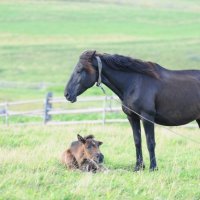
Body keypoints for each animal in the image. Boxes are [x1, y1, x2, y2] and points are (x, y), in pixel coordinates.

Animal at [64, 50, 200, 171]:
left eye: (80, 70)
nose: (67, 94)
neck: (134, 83)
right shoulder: (132, 117)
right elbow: (137, 141)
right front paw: (139, 167)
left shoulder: (147, 118)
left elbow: (150, 142)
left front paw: (153, 168)